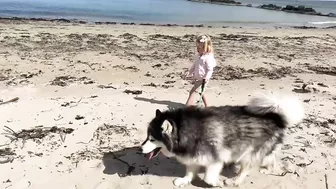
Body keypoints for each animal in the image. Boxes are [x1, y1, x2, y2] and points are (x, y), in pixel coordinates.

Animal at [140, 92, 304, 188]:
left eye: (152, 139)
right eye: (147, 137)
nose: (140, 149)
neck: (185, 131)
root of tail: (275, 116)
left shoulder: (216, 158)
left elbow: (208, 177)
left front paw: (215, 183)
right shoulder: (193, 155)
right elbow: (190, 171)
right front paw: (185, 180)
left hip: (249, 152)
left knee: (247, 168)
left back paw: (235, 180)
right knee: (273, 158)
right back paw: (269, 169)